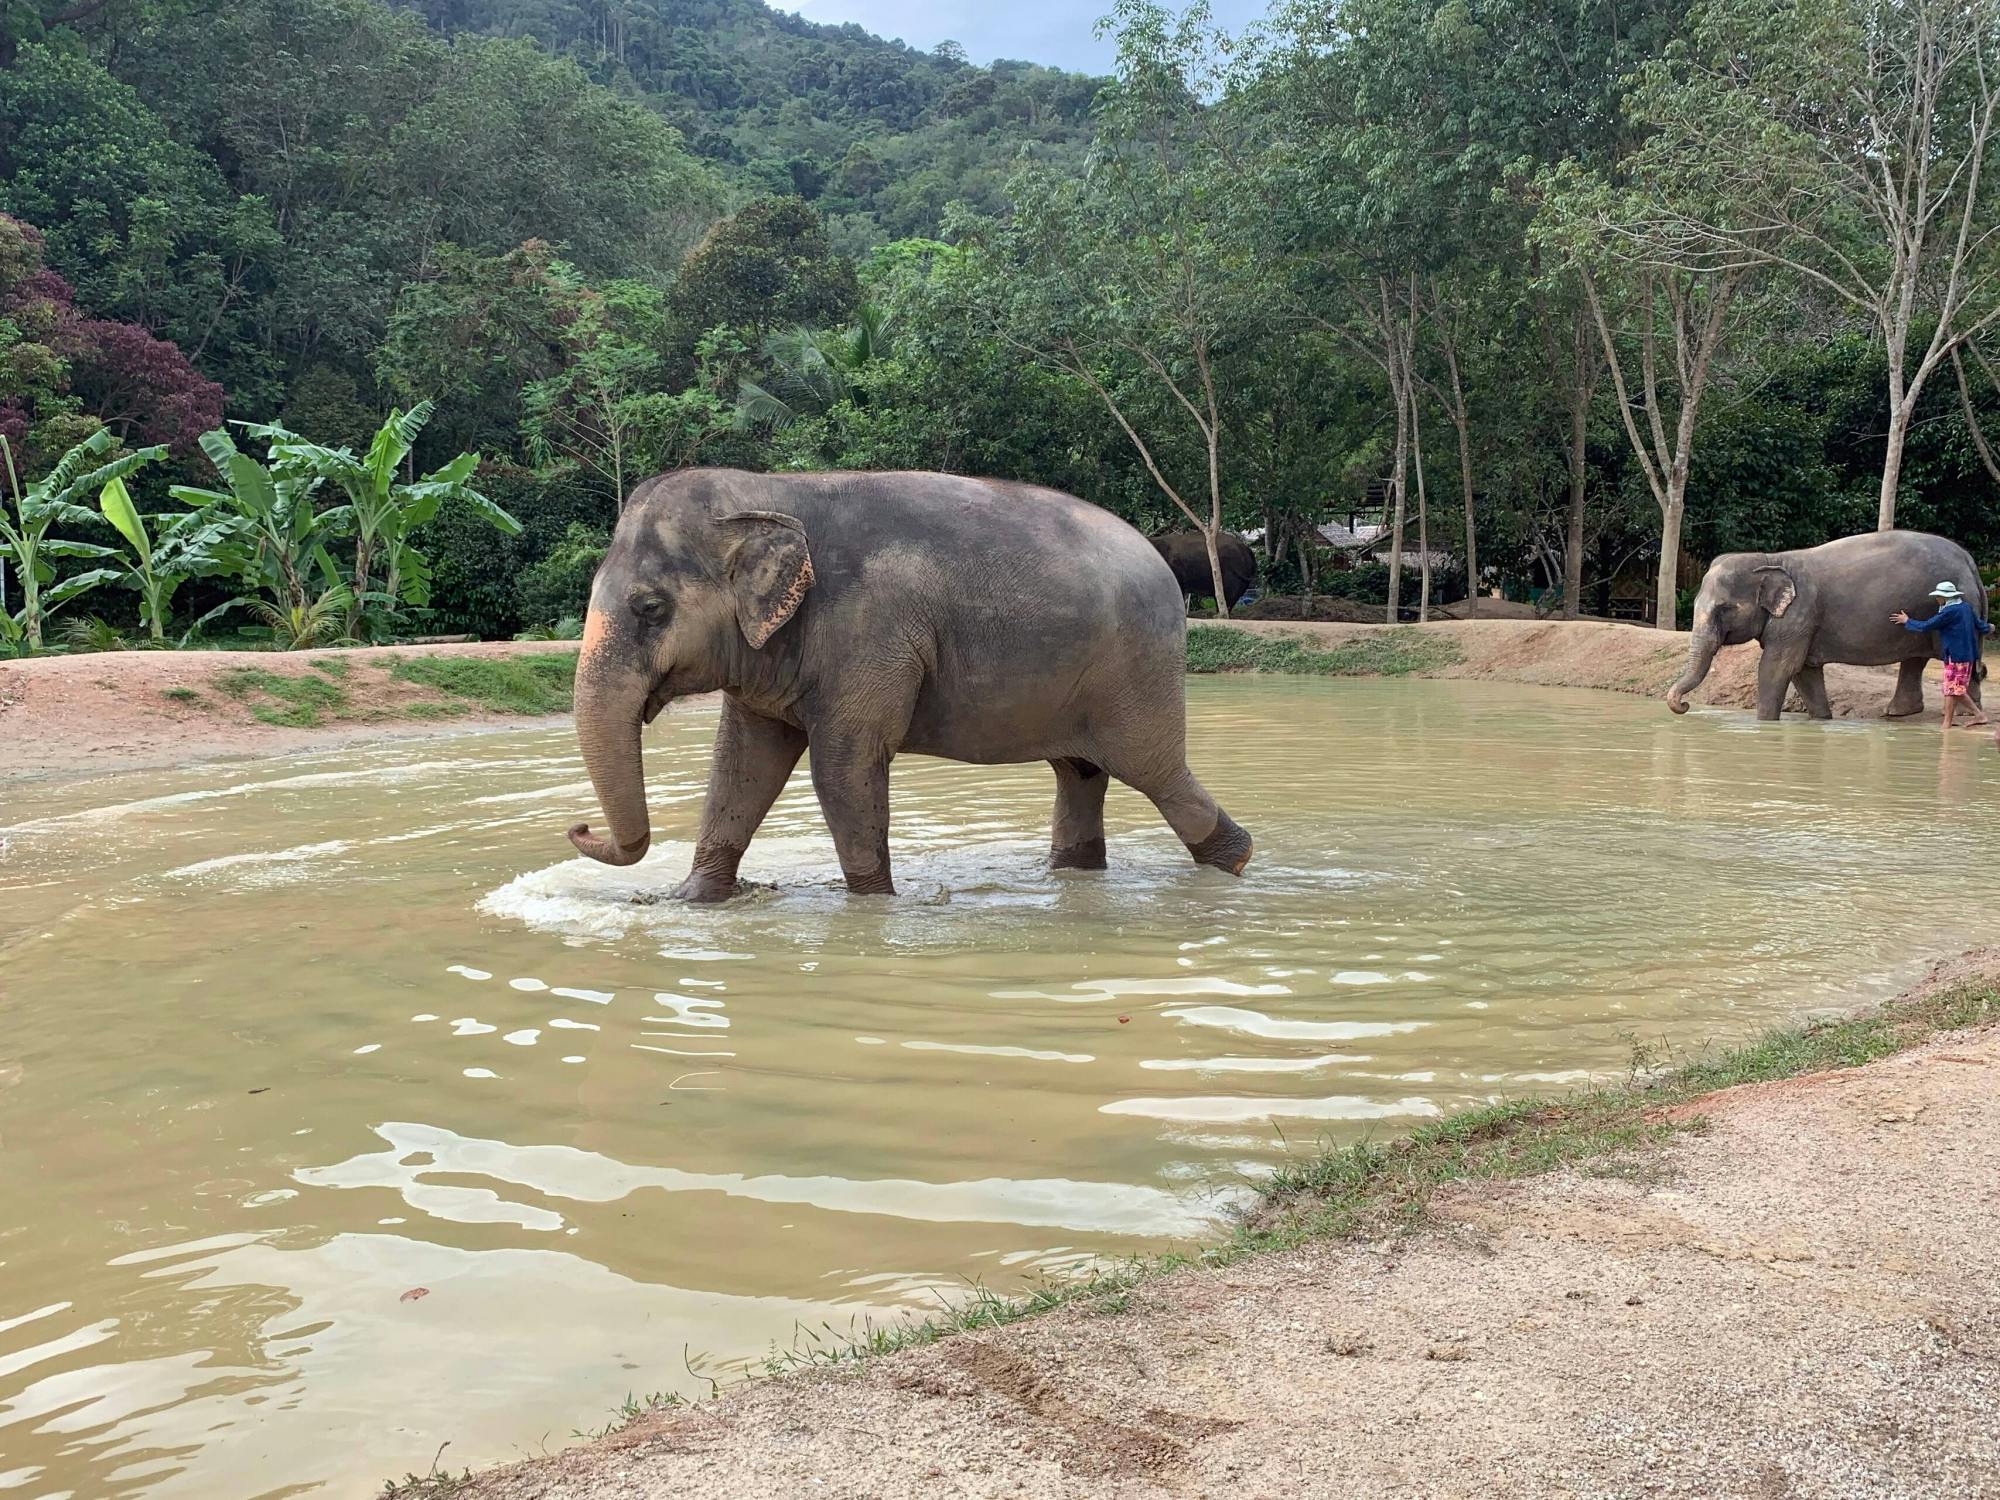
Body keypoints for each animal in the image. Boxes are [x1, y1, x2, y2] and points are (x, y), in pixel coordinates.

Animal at [565, 468, 1254, 899]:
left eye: (650, 608)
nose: (579, 828)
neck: (768, 489)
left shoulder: (869, 633)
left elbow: (842, 769)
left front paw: (874, 908)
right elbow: (741, 765)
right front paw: (689, 901)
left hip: (1136, 671)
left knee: (1155, 773)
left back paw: (1236, 862)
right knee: (1080, 772)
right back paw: (1075, 876)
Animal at [1666, 530, 1988, 721]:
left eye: (1724, 609)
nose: (1685, 706)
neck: (1770, 558)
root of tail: (1970, 562)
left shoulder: (1799, 614)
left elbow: (1778, 667)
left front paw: (1764, 723)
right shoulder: (1800, 624)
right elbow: (1804, 672)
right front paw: (1822, 720)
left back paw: (1964, 715)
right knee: (1916, 659)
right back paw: (1899, 713)